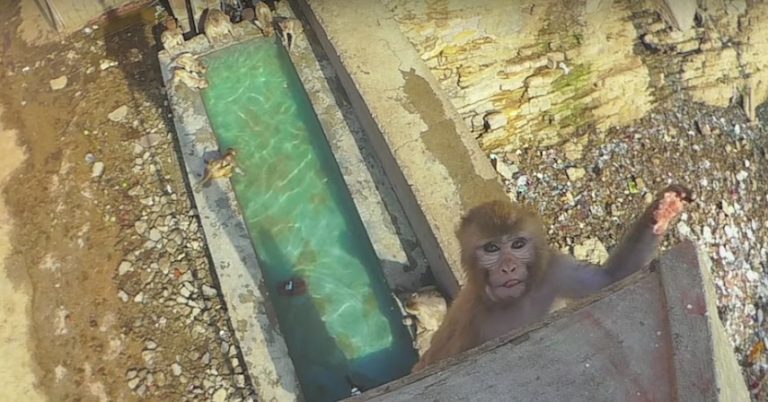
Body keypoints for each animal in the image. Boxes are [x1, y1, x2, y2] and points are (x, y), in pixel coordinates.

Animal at [411, 184, 693, 372]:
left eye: (517, 244)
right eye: (491, 248)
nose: (509, 268)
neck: (517, 301)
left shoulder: (553, 270)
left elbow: (609, 279)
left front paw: (662, 211)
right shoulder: (467, 317)